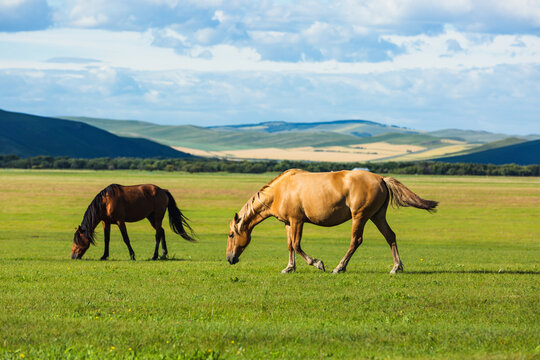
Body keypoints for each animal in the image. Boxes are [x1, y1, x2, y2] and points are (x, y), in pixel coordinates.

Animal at [226, 170, 436, 274]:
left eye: (230, 234)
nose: (230, 259)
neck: (280, 190)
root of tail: (381, 179)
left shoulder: (297, 221)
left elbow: (297, 245)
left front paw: (318, 263)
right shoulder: (288, 223)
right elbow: (290, 246)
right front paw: (289, 268)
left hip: (360, 216)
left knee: (356, 240)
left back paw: (339, 267)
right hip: (377, 216)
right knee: (390, 236)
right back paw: (396, 268)